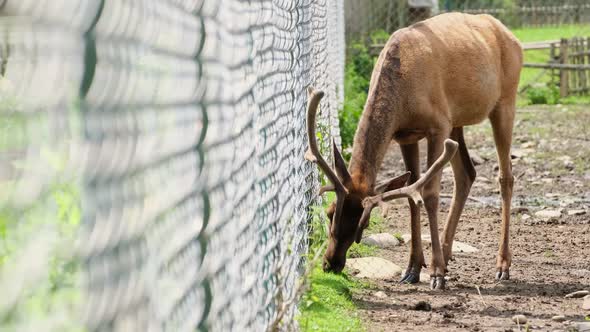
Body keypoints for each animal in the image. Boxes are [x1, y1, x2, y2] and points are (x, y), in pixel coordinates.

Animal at [308, 11, 524, 290]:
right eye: (330, 212)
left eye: (363, 223)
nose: (331, 263)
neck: (403, 94)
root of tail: (510, 35)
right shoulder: (406, 136)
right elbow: (412, 194)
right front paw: (412, 268)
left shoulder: (437, 125)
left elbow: (430, 194)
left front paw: (436, 273)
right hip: (457, 121)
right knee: (466, 173)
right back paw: (447, 252)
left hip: (505, 101)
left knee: (505, 176)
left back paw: (502, 265)